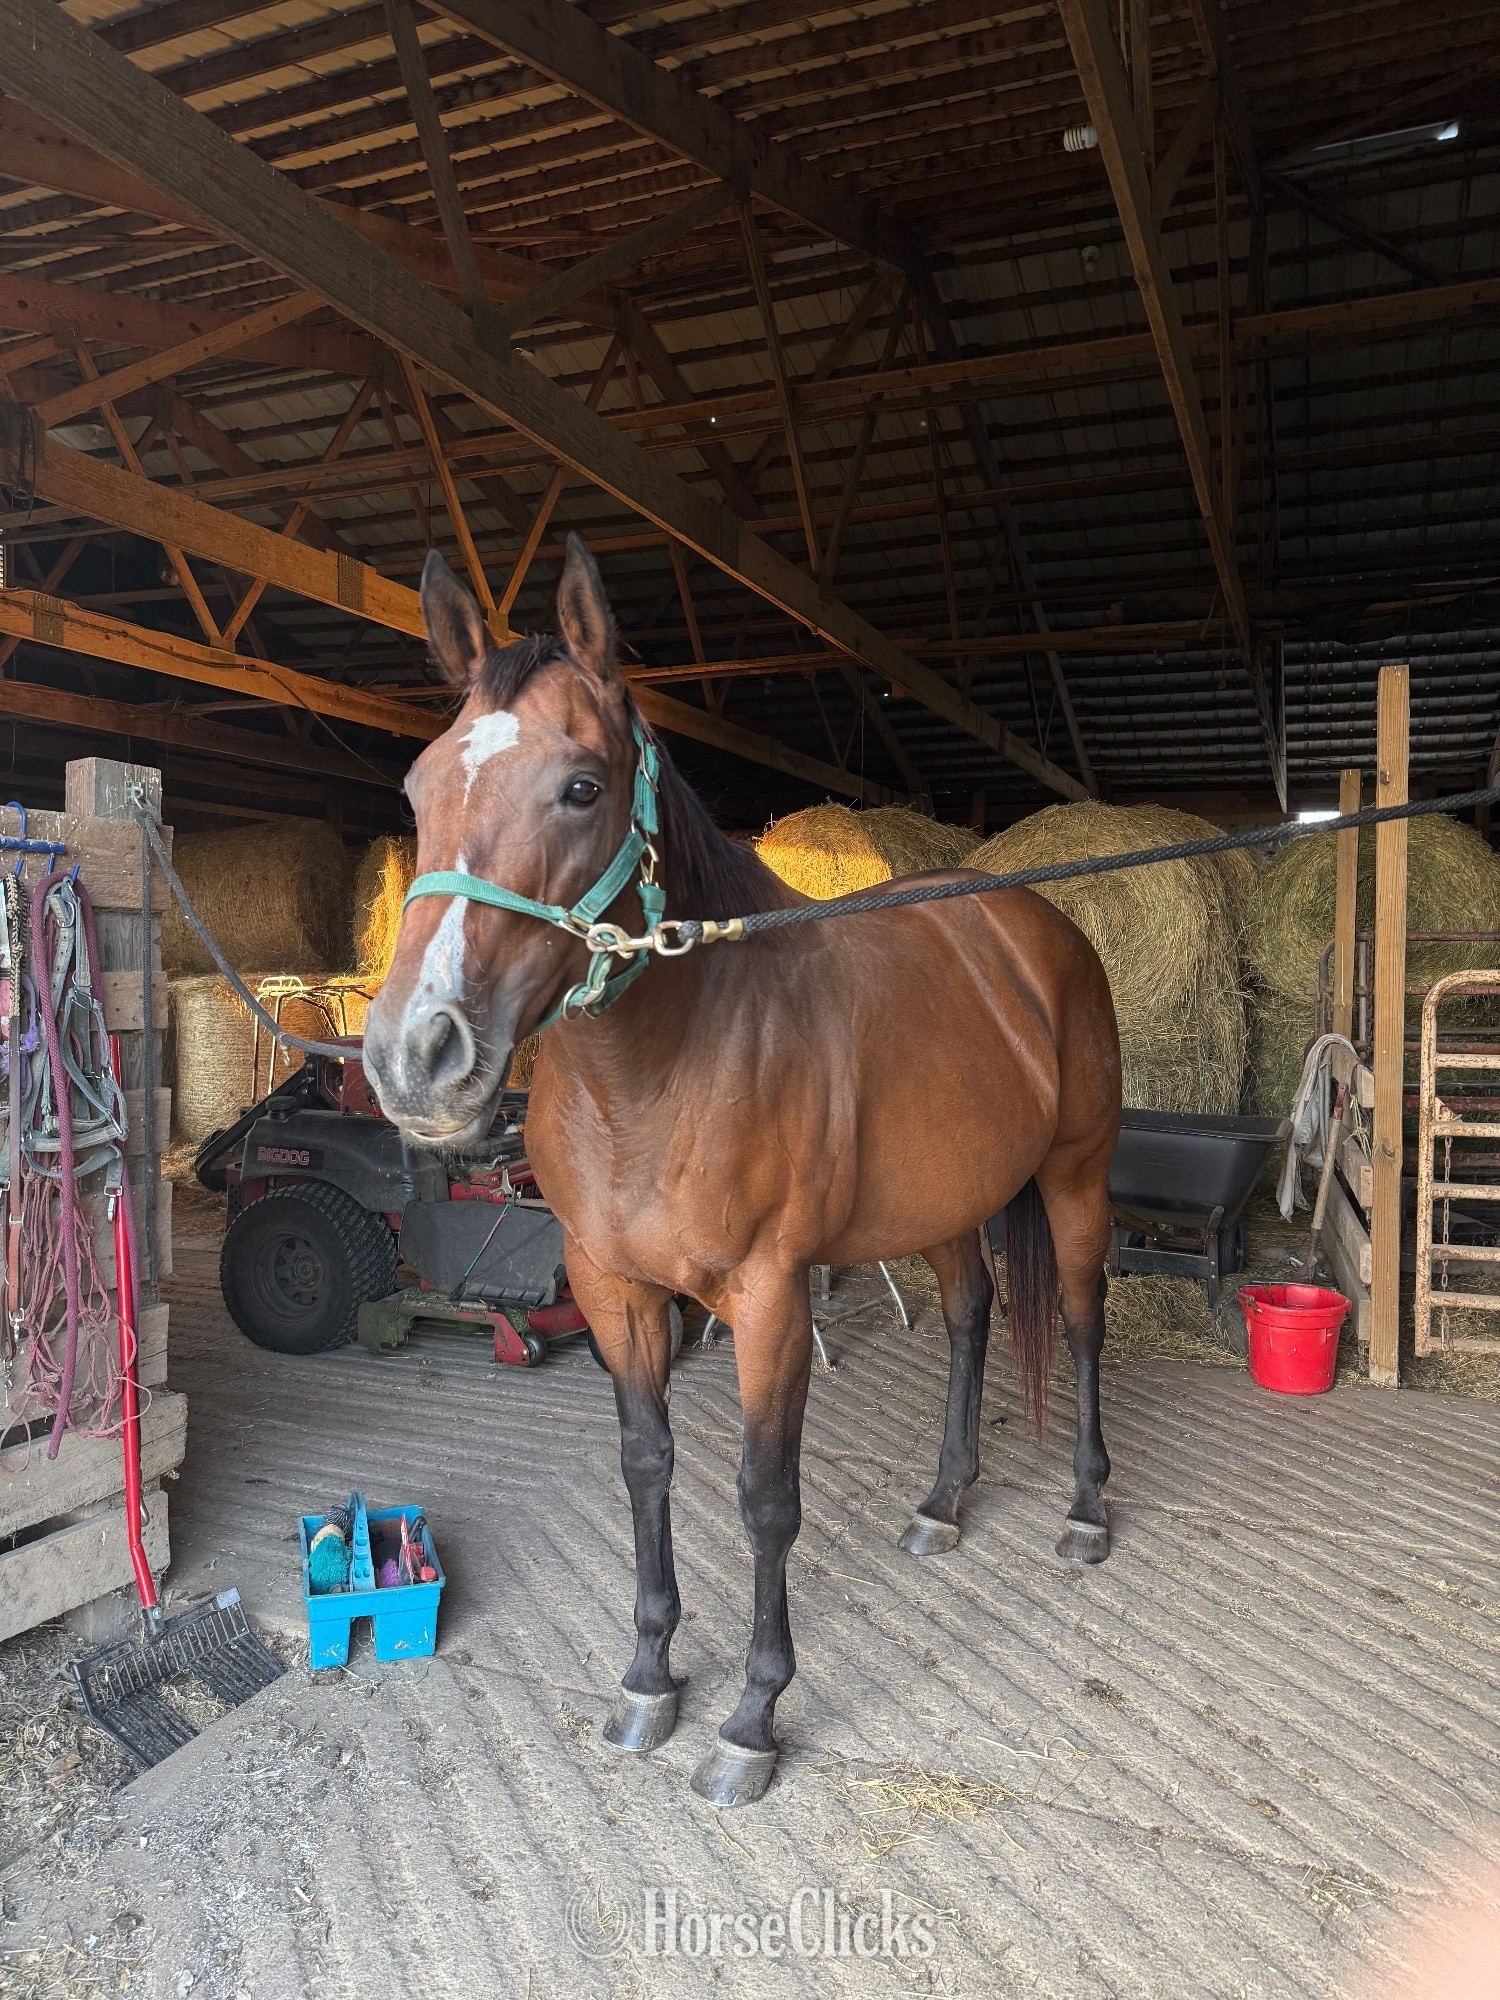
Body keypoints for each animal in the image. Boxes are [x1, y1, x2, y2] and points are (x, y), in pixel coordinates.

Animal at [362, 536, 1122, 1809]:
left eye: (582, 785)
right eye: (417, 791)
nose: (415, 1055)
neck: (661, 1071)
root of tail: (1037, 930)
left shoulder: (769, 1297)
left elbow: (766, 1498)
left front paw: (753, 1715)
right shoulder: (614, 1289)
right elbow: (646, 1466)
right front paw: (647, 1675)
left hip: (1075, 1180)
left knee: (1075, 1321)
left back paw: (1086, 1507)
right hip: (949, 1198)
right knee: (970, 1313)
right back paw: (942, 1499)